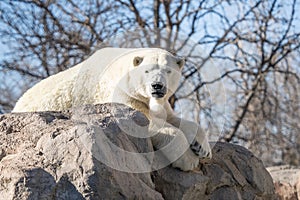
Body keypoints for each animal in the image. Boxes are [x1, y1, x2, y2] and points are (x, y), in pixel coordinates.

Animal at [13, 47, 211, 171]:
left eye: (168, 71)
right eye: (147, 71)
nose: (157, 86)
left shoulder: (161, 102)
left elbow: (173, 119)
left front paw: (202, 148)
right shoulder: (121, 94)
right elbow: (147, 122)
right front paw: (188, 160)